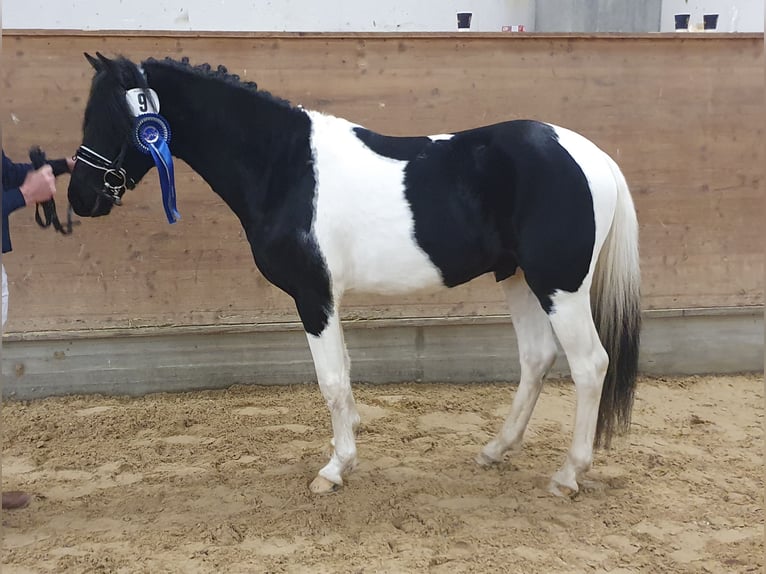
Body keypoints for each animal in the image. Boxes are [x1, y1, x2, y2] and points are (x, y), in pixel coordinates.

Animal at [67, 51, 640, 498]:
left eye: (111, 119)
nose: (80, 198)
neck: (285, 167)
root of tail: (592, 156)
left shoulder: (313, 296)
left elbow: (331, 380)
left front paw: (335, 469)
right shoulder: (327, 299)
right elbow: (343, 372)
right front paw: (347, 448)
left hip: (560, 287)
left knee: (590, 365)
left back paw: (568, 475)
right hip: (518, 279)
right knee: (536, 358)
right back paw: (495, 450)